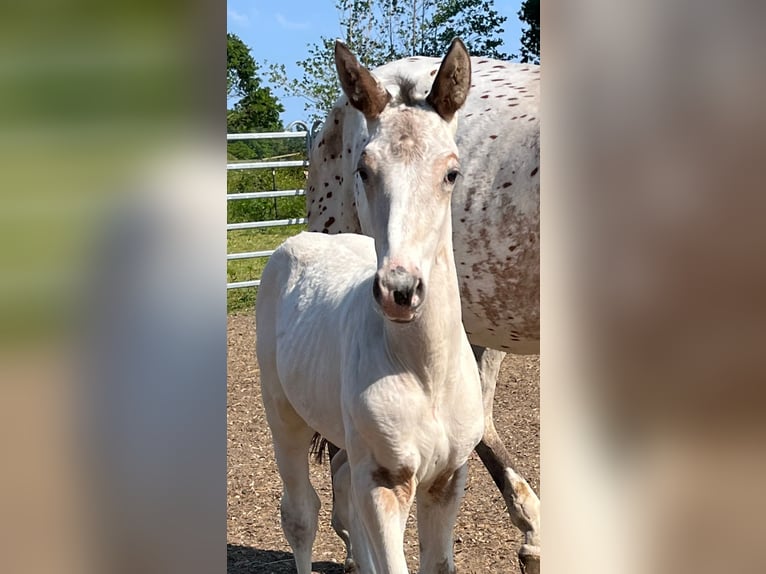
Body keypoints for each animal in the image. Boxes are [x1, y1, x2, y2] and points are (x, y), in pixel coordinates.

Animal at [258, 39, 486, 574]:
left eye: (452, 172)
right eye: (364, 169)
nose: (400, 291)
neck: (425, 371)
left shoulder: (448, 480)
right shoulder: (384, 480)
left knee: (342, 490)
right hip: (283, 413)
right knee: (301, 513)